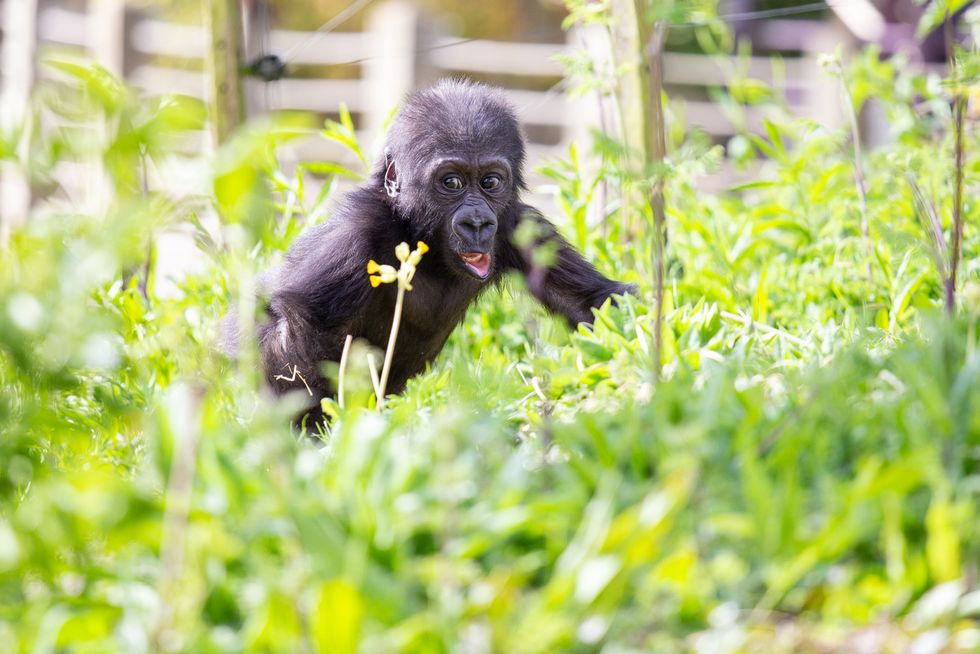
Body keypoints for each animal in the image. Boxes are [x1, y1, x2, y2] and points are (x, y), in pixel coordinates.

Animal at [231, 79, 634, 425]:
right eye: (451, 182)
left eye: (490, 181)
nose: (476, 222)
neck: (418, 233)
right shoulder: (357, 232)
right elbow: (302, 321)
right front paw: (313, 431)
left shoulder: (519, 226)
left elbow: (593, 303)